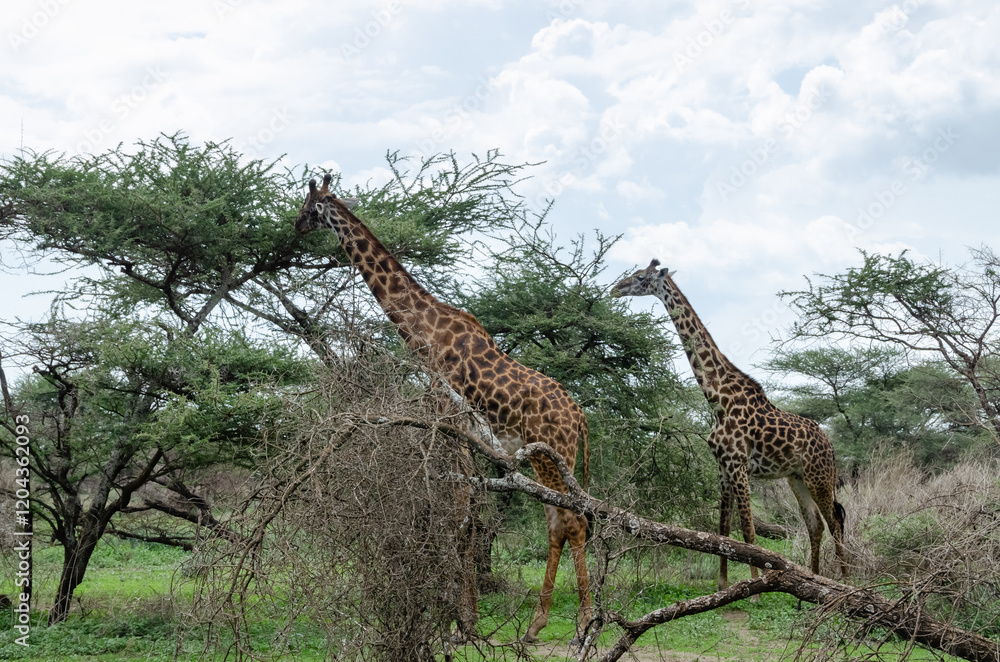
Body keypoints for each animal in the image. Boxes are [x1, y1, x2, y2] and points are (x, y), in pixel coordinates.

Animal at [296, 174, 592, 643]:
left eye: (308, 206)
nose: (294, 227)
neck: (425, 332)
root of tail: (579, 417)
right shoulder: (458, 425)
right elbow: (465, 512)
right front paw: (464, 618)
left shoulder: (446, 413)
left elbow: (459, 512)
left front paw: (461, 621)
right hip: (547, 459)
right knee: (557, 524)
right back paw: (535, 625)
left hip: (551, 453)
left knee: (573, 521)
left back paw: (583, 621)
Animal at [613, 260, 849, 587]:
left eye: (640, 277)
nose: (615, 288)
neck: (717, 399)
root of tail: (830, 445)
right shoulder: (723, 466)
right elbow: (723, 529)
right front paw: (723, 585)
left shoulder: (738, 465)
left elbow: (748, 531)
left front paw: (756, 586)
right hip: (797, 478)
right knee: (815, 523)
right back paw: (814, 578)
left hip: (820, 477)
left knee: (835, 521)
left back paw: (846, 582)